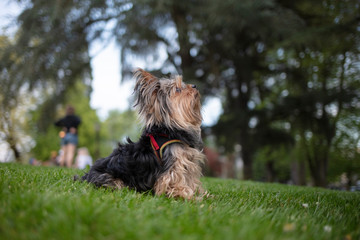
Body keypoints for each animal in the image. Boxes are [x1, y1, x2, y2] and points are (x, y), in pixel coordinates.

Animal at [78, 68, 205, 200]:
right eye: (178, 89)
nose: (194, 86)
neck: (170, 130)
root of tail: (86, 175)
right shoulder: (173, 165)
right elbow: (175, 182)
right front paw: (186, 196)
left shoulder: (189, 162)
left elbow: (189, 180)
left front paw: (200, 194)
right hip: (111, 179)